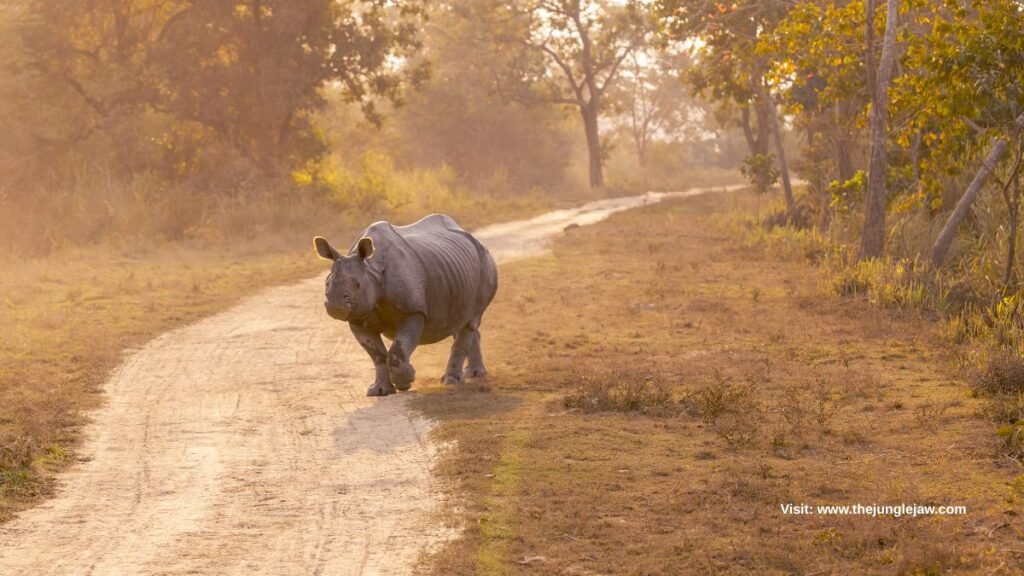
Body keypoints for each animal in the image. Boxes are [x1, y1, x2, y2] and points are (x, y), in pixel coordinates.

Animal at [314, 214, 499, 396]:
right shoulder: (358, 316)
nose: (335, 305)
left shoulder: (413, 309)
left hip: (485, 262)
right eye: (327, 284)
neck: (372, 269)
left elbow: (397, 351)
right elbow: (377, 355)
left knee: (471, 320)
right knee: (461, 320)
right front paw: (379, 391)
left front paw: (406, 380)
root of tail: (472, 237)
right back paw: (474, 374)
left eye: (358, 285)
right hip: (456, 271)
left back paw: (452, 381)